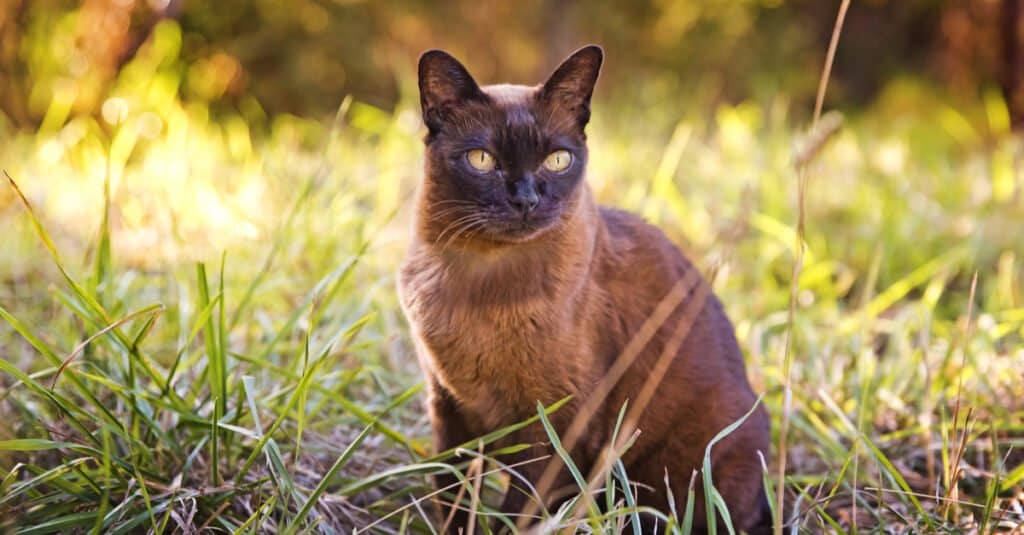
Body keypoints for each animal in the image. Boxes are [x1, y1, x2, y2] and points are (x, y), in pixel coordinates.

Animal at [397, 46, 770, 532]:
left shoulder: (556, 427)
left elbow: (518, 515)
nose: (525, 200)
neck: (478, 283)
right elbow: (453, 503)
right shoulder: (448, 409)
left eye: (557, 160)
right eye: (481, 160)